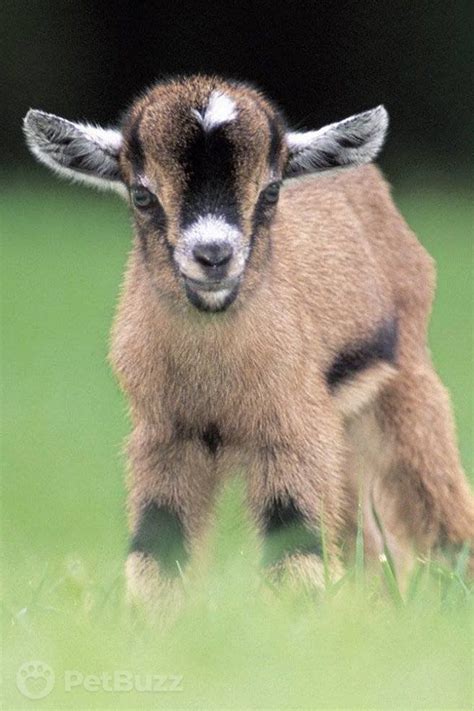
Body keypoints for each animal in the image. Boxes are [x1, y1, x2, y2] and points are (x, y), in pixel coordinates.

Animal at [24, 76, 472, 600]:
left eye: (271, 191)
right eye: (141, 195)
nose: (213, 255)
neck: (215, 381)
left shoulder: (292, 430)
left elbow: (295, 546)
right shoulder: (166, 436)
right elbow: (157, 545)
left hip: (404, 388)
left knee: (437, 510)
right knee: (369, 545)